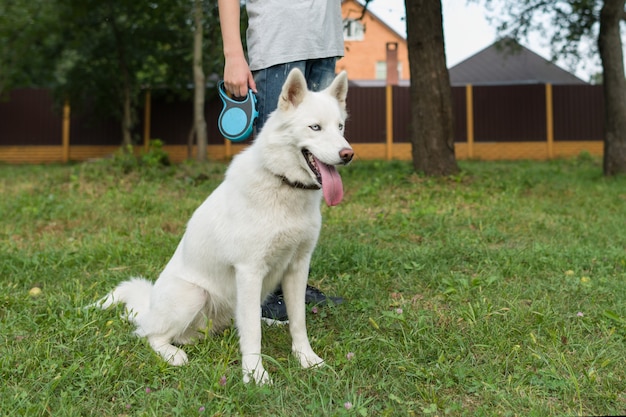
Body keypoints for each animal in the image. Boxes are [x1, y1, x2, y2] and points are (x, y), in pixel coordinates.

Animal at [95, 69, 354, 384]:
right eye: (315, 127)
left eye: (340, 127)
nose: (348, 154)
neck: (283, 184)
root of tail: (148, 308)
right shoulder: (250, 271)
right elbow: (252, 334)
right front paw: (255, 374)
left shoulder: (297, 267)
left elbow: (298, 322)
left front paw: (306, 359)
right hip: (194, 295)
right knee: (150, 335)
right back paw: (173, 355)